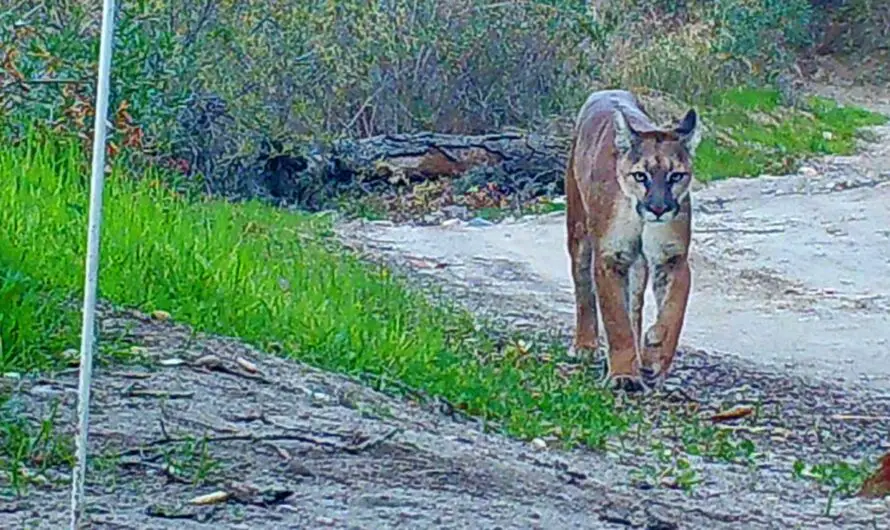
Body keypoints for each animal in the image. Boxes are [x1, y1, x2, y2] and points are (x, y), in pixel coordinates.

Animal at [564, 89, 701, 392]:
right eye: (641, 175)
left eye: (676, 175)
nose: (659, 209)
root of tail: (606, 91)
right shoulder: (610, 256)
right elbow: (616, 319)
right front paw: (623, 375)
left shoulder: (672, 257)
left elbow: (673, 312)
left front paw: (654, 353)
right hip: (579, 232)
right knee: (583, 289)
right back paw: (585, 345)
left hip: (639, 264)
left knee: (635, 307)